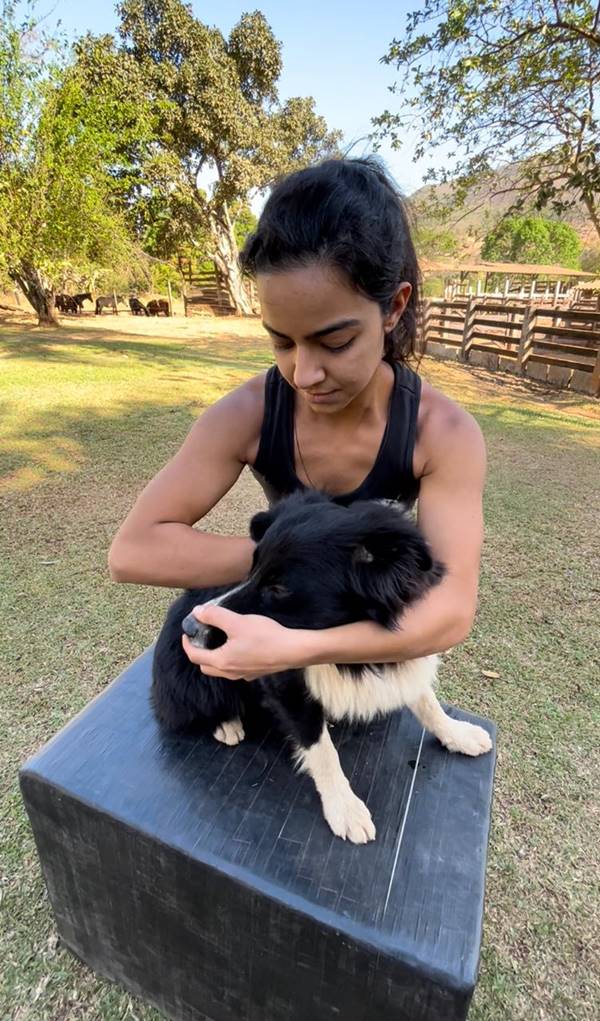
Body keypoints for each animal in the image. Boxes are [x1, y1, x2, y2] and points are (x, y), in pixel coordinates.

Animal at [151, 490, 491, 841]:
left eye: (279, 588)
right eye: (251, 568)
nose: (190, 628)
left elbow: (426, 701)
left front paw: (458, 733)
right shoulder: (281, 678)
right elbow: (320, 746)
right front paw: (345, 808)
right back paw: (226, 724)